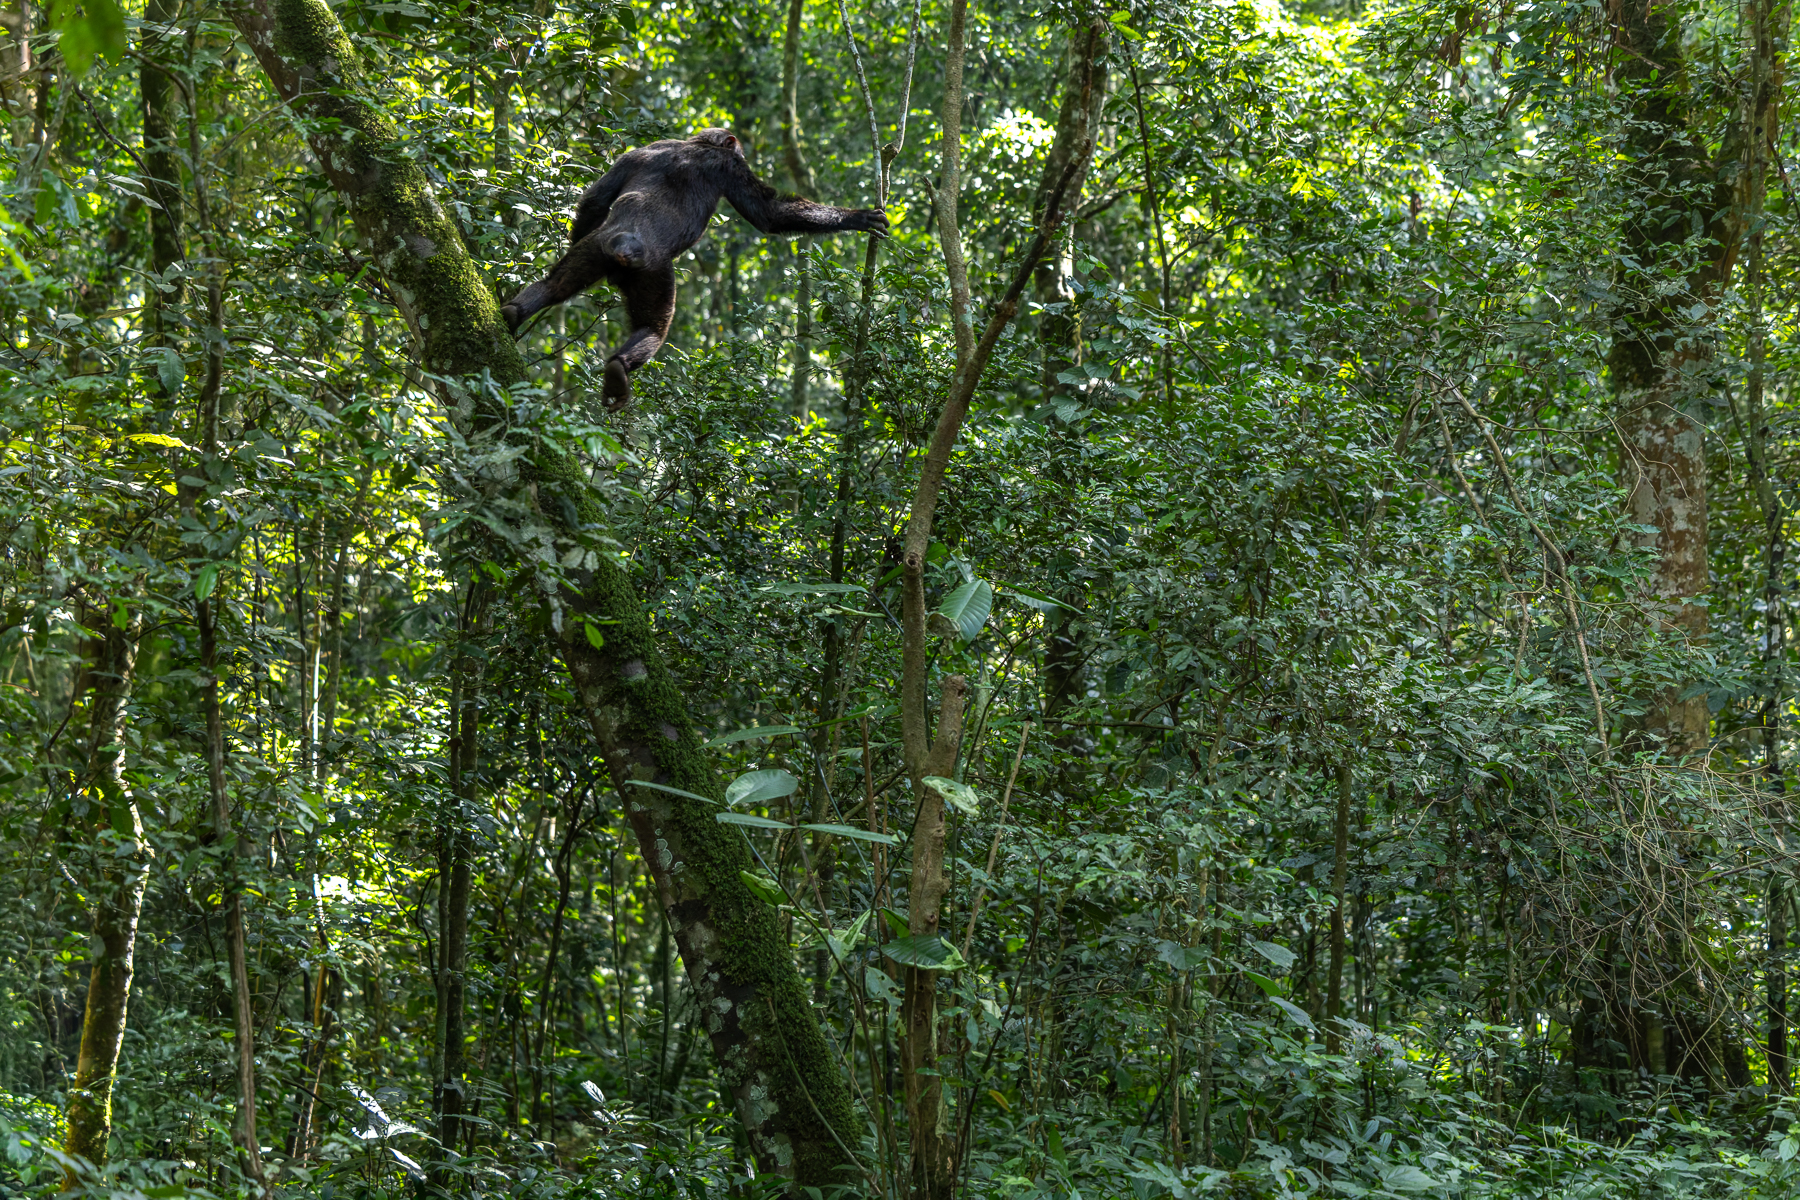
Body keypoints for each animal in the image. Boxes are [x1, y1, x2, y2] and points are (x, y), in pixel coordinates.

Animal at [501, 128, 888, 407]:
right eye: (738, 150)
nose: (742, 150)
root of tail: (624, 243)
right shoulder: (730, 168)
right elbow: (769, 213)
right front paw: (859, 218)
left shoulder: (636, 153)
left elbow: (596, 198)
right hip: (652, 271)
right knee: (654, 328)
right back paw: (617, 372)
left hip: (593, 250)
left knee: (554, 285)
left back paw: (512, 314)